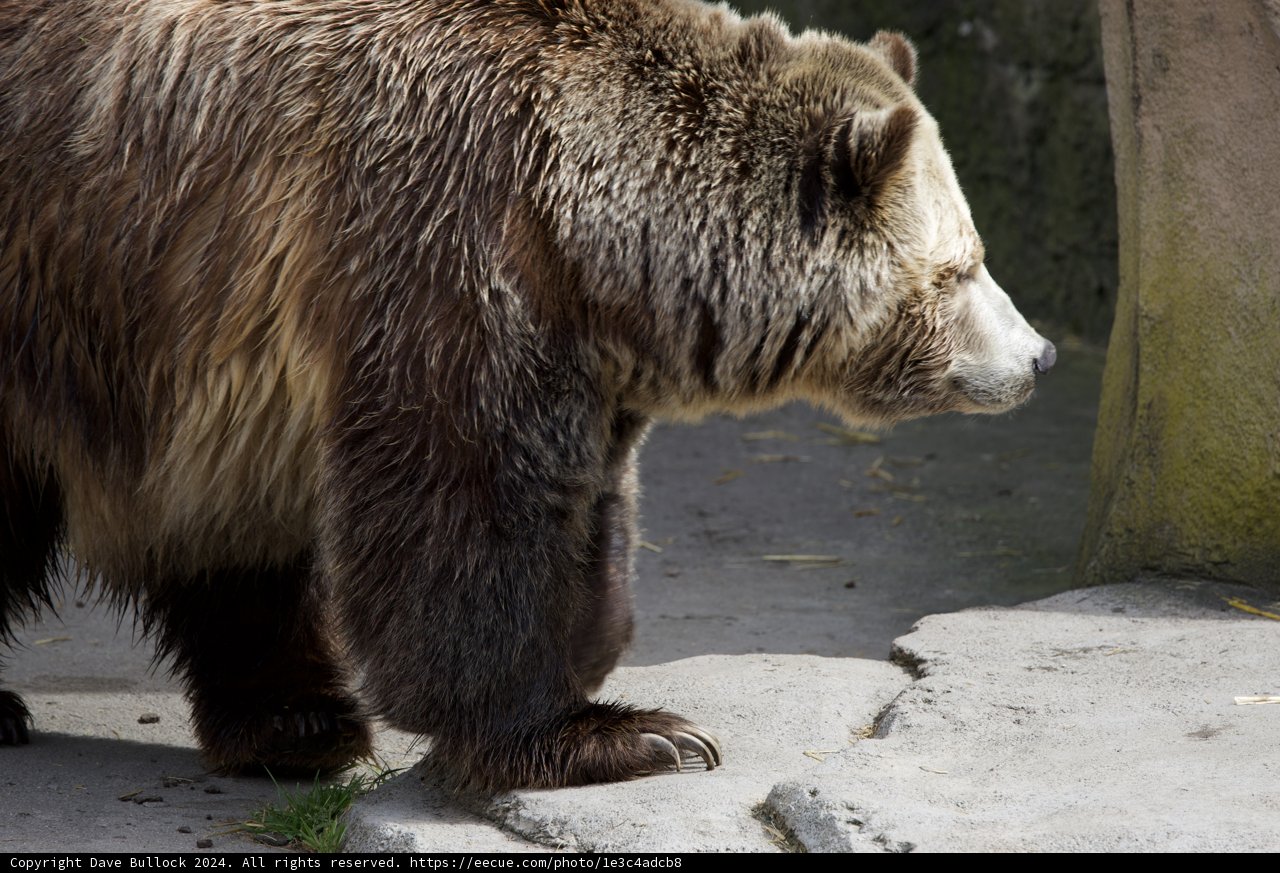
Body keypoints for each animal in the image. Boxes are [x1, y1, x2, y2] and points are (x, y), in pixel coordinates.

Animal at [0, 0, 1055, 790]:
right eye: (961, 267)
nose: (1040, 355)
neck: (592, 240)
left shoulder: (575, 352)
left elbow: (580, 504)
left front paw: (597, 659)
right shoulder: (446, 245)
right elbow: (462, 499)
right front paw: (624, 732)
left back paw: (296, 718)